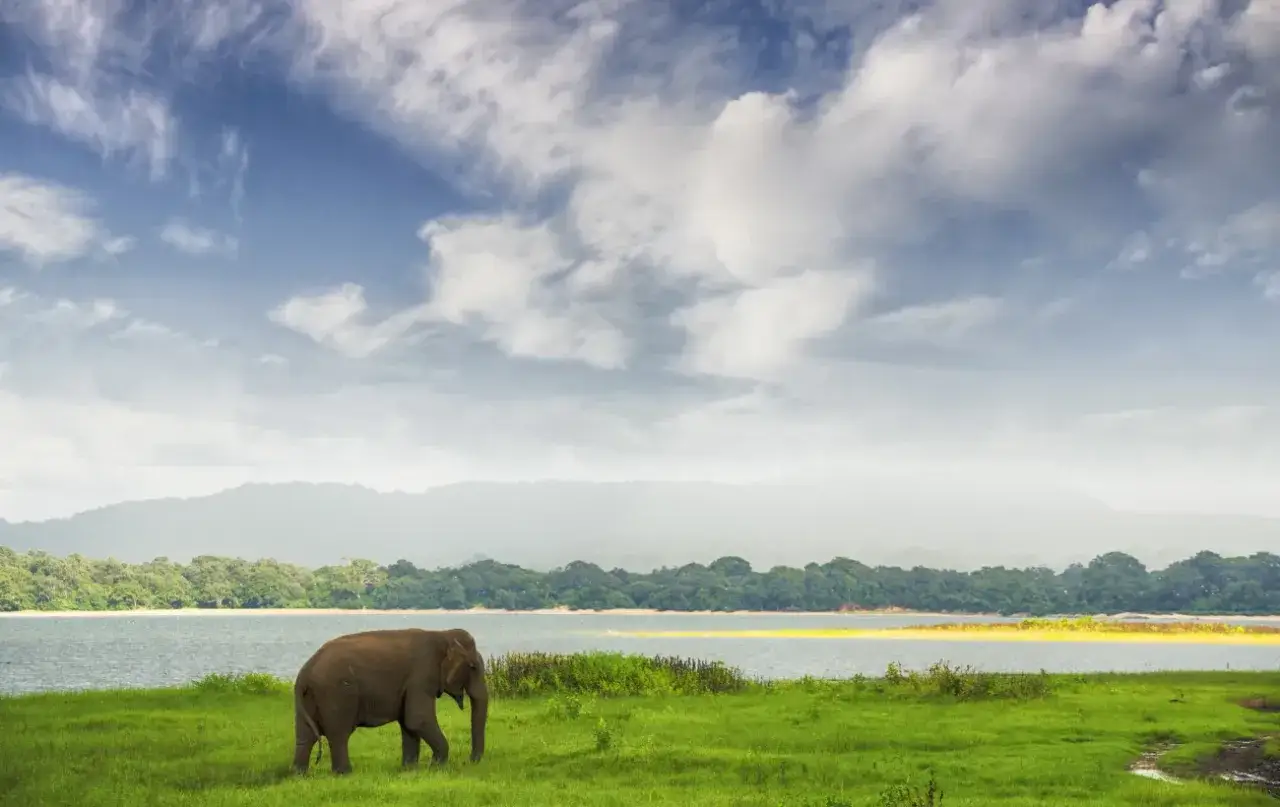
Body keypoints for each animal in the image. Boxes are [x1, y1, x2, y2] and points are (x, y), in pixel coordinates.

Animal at [291, 627, 488, 775]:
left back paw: (299, 775)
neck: (442, 634)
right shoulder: (421, 676)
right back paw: (344, 773)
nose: (470, 761)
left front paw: (409, 770)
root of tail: (304, 673)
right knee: (338, 734)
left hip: (309, 698)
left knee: (305, 736)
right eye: (473, 667)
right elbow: (418, 719)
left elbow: (409, 724)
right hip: (336, 693)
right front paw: (436, 768)